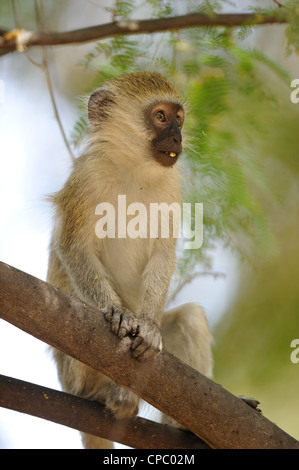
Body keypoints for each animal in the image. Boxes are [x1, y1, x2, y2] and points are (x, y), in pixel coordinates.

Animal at [47, 72, 213, 448]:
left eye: (179, 118)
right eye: (161, 117)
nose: (177, 137)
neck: (134, 171)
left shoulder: (170, 190)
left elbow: (162, 255)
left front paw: (148, 326)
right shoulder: (86, 178)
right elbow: (72, 247)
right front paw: (118, 311)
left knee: (191, 318)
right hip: (76, 373)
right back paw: (109, 395)